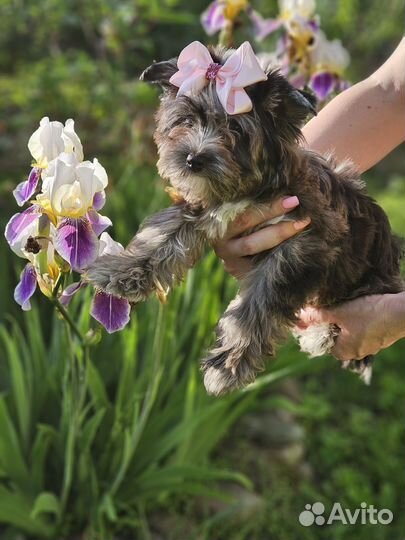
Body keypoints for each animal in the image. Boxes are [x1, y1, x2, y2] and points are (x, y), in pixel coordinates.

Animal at [87, 42, 402, 394]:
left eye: (236, 129)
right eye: (187, 119)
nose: (193, 159)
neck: (247, 190)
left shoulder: (301, 245)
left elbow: (257, 305)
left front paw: (228, 366)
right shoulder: (202, 205)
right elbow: (163, 234)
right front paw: (122, 272)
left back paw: (320, 334)